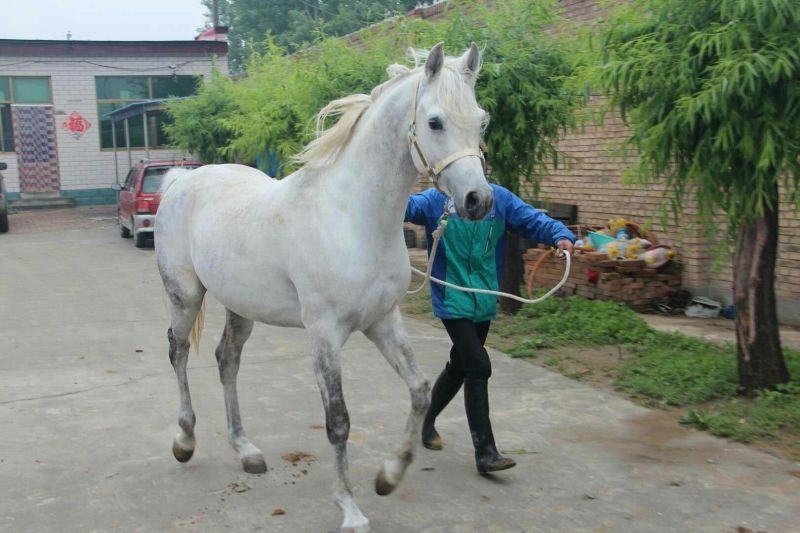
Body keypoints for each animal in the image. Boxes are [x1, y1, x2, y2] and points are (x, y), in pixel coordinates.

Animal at [154, 42, 492, 533]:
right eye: (435, 121)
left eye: (481, 120)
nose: (478, 201)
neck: (353, 217)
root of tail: (184, 179)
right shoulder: (325, 333)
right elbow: (338, 420)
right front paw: (350, 509)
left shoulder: (383, 322)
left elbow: (419, 390)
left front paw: (389, 476)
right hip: (185, 296)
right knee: (178, 352)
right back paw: (185, 439)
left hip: (241, 306)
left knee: (226, 360)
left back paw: (246, 450)